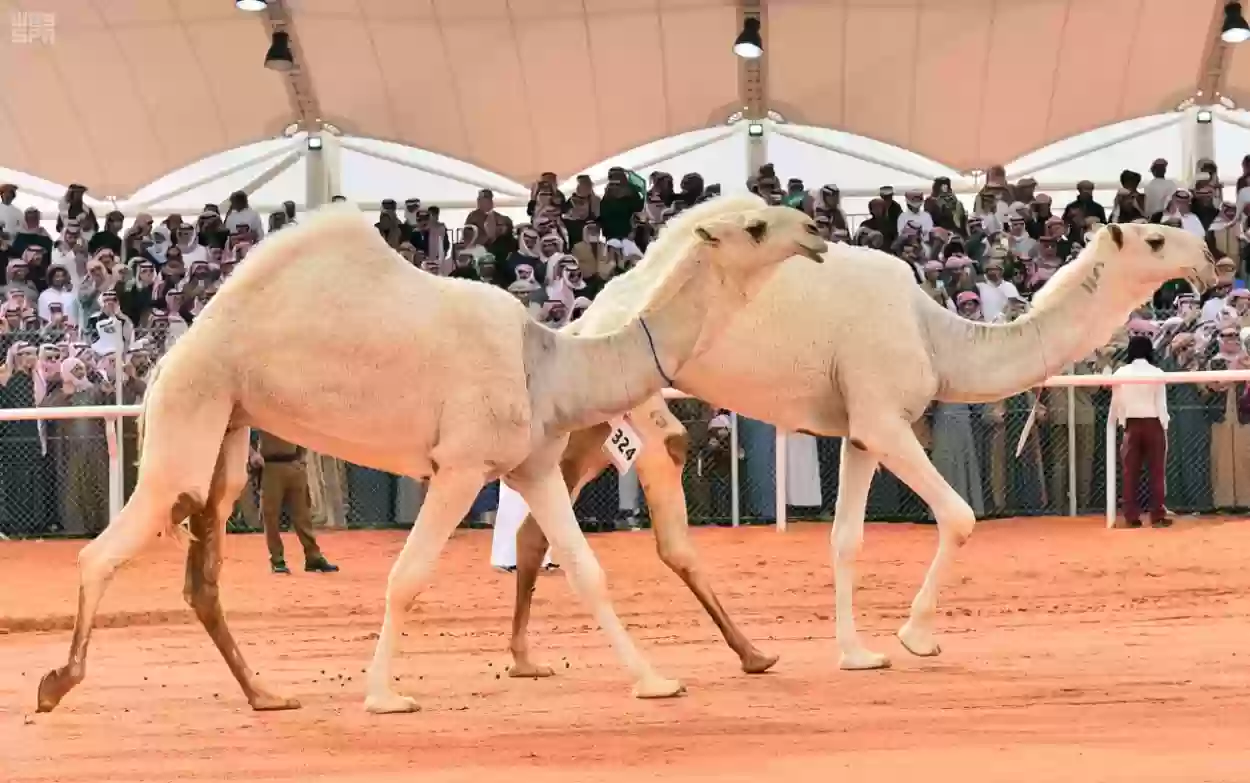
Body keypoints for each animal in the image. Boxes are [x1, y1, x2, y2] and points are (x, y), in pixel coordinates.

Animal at [34, 192, 825, 710]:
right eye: (757, 224)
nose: (818, 230)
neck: (551, 363)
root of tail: (173, 356)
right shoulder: (462, 465)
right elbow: (407, 576)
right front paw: (385, 694)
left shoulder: (532, 463)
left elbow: (587, 570)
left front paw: (655, 680)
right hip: (188, 414)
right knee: (102, 552)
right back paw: (55, 683)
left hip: (228, 431)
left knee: (202, 575)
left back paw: (265, 694)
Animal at [505, 222, 1210, 675]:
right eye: (1154, 239)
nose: (1205, 256)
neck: (935, 335)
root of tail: (588, 318)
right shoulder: (887, 418)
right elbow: (960, 515)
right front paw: (916, 638)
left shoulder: (863, 430)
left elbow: (846, 538)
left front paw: (857, 653)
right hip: (634, 413)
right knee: (666, 506)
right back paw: (746, 654)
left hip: (588, 425)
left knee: (537, 529)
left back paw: (525, 659)